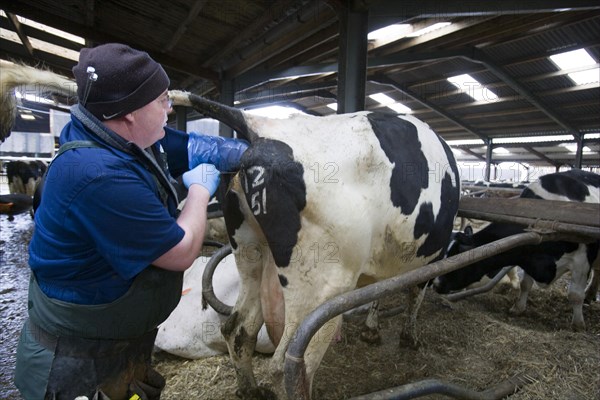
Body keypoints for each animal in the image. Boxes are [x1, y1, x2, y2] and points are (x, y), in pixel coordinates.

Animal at [436, 170, 600, 332]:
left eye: (458, 257)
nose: (435, 284)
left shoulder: (582, 260)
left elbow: (575, 295)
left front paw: (578, 325)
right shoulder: (528, 254)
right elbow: (525, 284)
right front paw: (518, 307)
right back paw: (590, 294)